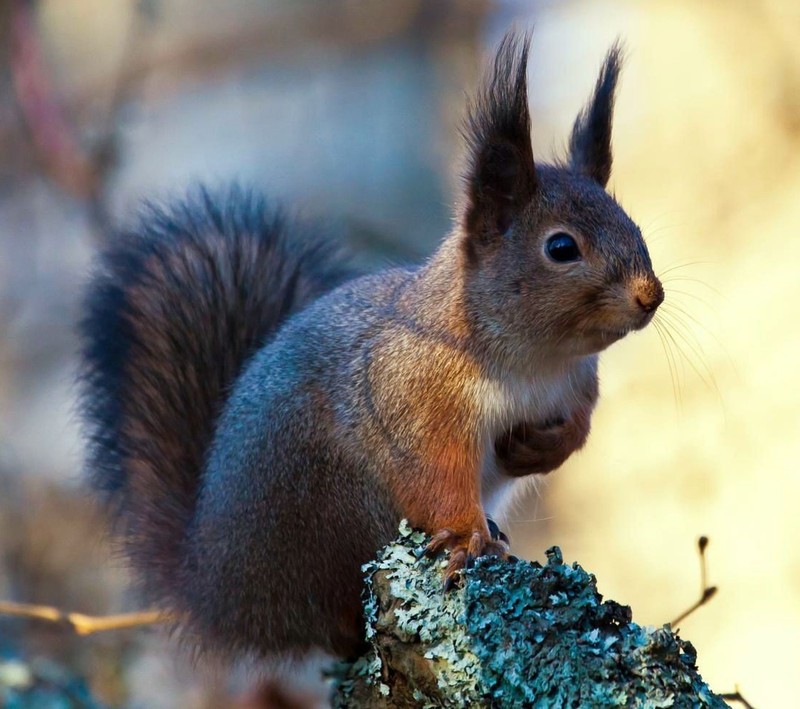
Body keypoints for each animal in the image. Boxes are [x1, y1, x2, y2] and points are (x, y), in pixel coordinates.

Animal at [78, 31, 664, 664]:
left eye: (633, 225)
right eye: (561, 248)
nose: (650, 295)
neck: (536, 359)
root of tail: (216, 588)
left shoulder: (576, 385)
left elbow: (578, 429)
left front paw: (540, 448)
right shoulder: (416, 399)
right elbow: (436, 473)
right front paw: (467, 537)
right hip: (326, 508)